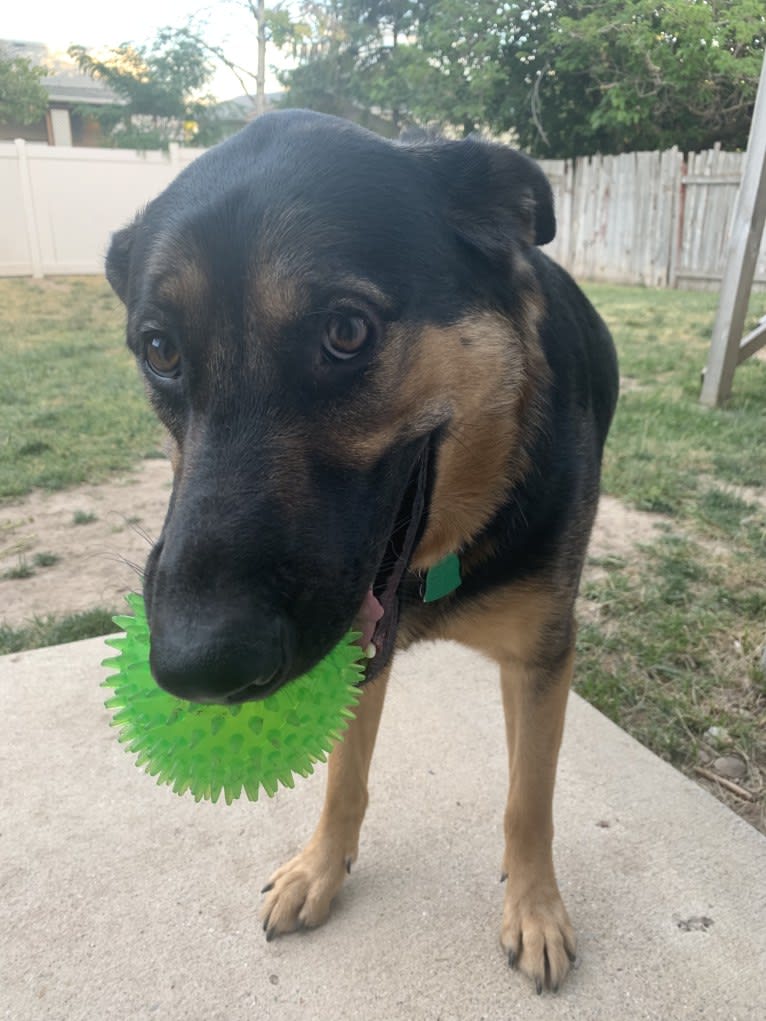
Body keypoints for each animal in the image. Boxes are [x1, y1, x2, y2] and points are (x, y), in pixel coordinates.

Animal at [105, 109, 620, 988]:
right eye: (160, 350)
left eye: (346, 331)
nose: (196, 667)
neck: (449, 549)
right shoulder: (355, 650)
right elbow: (343, 773)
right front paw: (321, 867)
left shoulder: (544, 646)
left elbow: (530, 797)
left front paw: (535, 905)